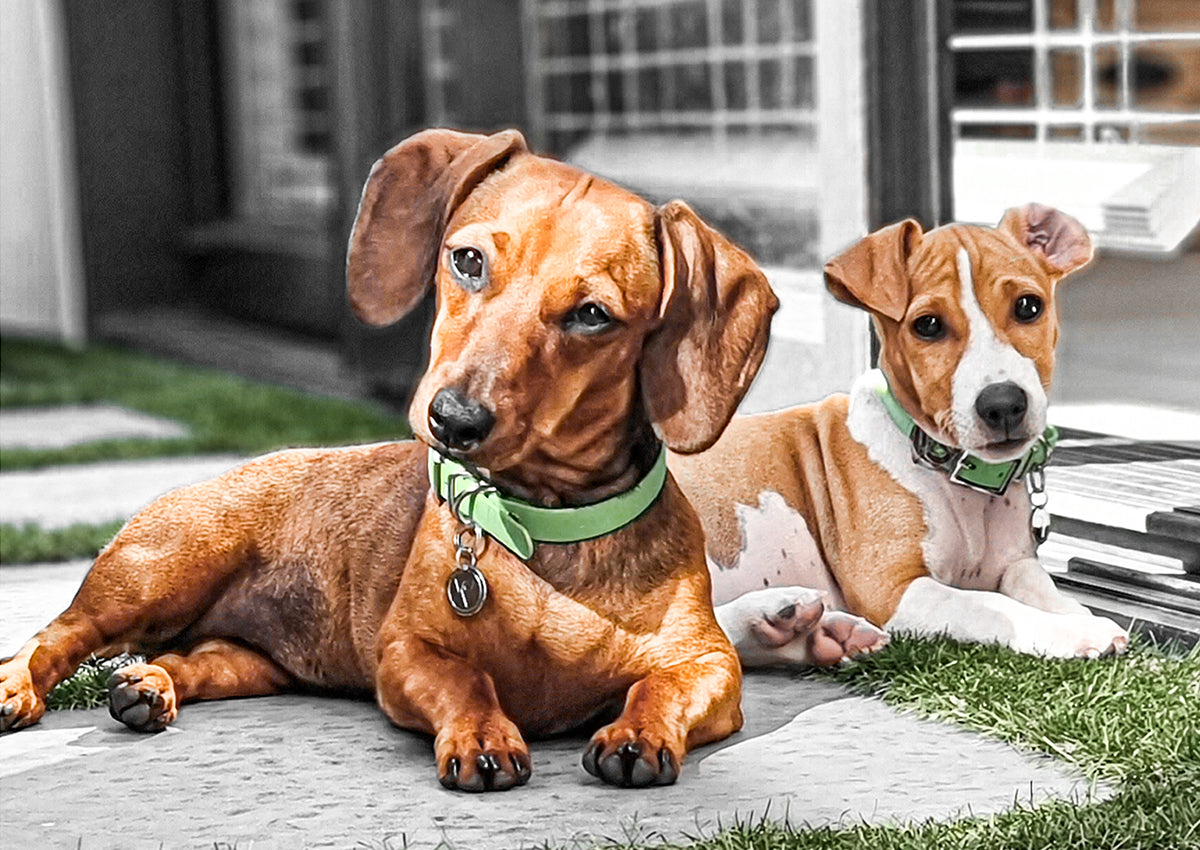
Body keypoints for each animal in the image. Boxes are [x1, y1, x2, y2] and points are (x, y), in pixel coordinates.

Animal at [681, 205, 1128, 662]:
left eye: (1028, 306)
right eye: (927, 325)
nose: (1003, 404)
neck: (958, 481)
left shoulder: (1014, 561)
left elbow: (1034, 582)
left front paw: (1073, 611)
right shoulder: (892, 588)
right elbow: (989, 605)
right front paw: (1075, 632)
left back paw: (819, 633)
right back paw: (772, 614)